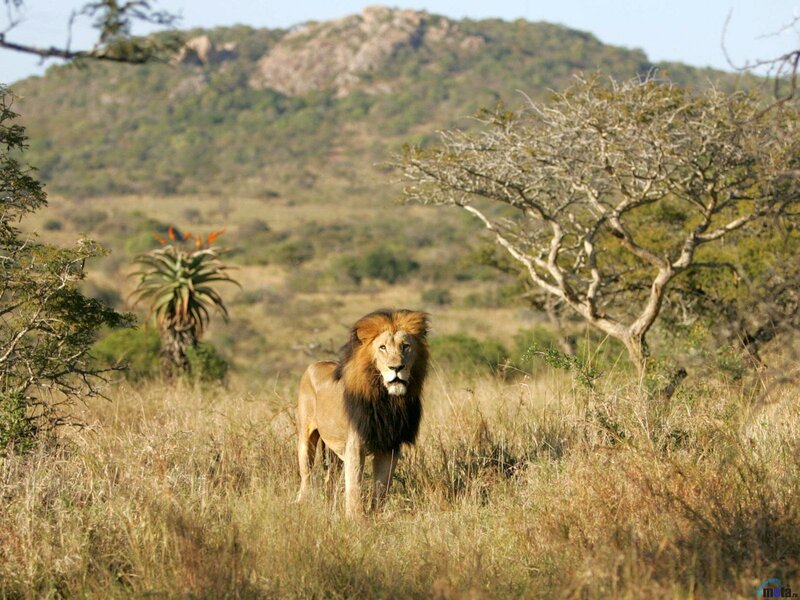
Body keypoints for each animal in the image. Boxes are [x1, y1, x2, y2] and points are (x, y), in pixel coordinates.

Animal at [295, 309, 429, 518]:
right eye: (382, 347)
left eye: (405, 346)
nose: (396, 368)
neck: (388, 401)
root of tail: (315, 364)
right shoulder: (355, 445)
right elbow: (354, 487)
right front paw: (355, 519)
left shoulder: (389, 447)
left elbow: (382, 488)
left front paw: (376, 517)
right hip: (305, 437)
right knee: (306, 477)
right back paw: (303, 504)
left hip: (334, 450)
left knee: (329, 481)